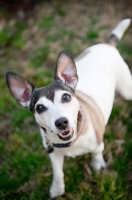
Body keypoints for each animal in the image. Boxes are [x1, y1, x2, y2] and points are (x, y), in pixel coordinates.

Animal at [5, 19, 131, 198]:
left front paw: (97, 164)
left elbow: (97, 152)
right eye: (40, 107)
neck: (71, 142)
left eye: (65, 97)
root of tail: (106, 45)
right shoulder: (53, 153)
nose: (61, 122)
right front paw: (57, 189)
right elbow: (58, 173)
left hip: (127, 90)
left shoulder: (98, 143)